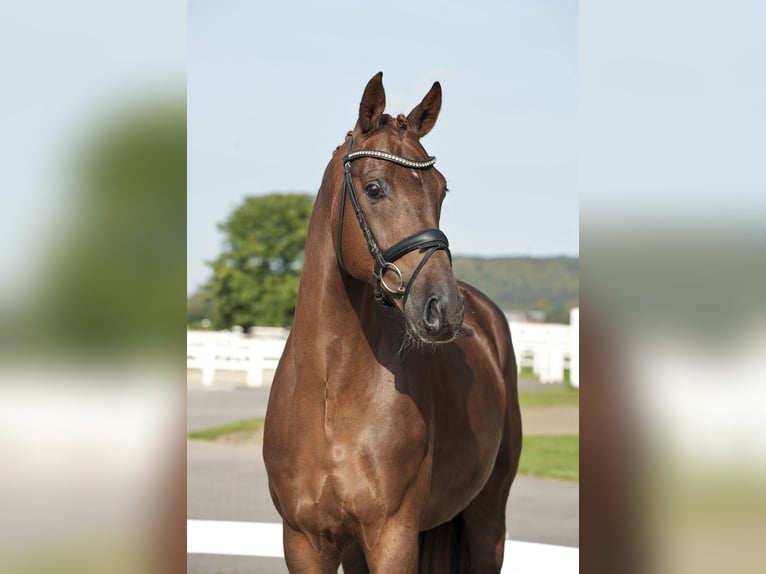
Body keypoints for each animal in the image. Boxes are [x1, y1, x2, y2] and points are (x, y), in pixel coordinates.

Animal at [264, 73, 520, 574]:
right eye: (375, 188)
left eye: (441, 190)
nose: (444, 309)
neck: (330, 391)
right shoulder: (304, 541)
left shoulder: (393, 537)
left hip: (487, 521)